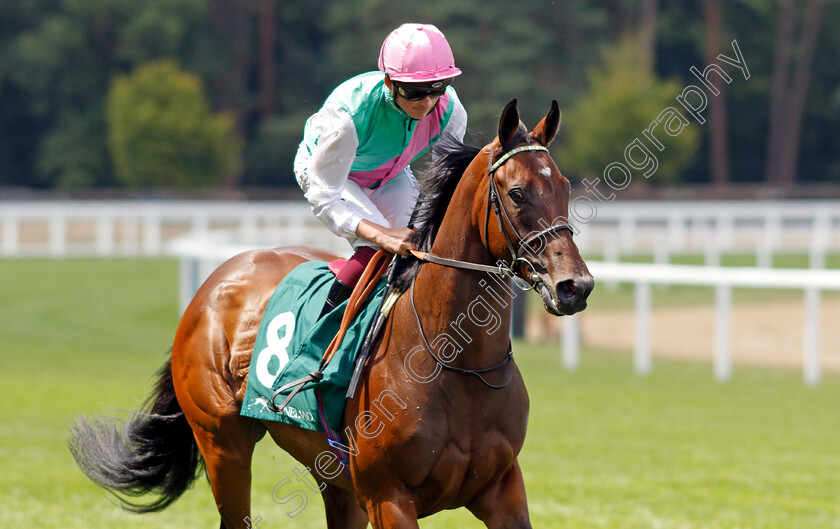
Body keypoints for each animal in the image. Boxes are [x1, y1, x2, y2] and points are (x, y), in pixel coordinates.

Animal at [70, 100, 592, 528]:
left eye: (566, 186)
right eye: (517, 193)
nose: (575, 286)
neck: (455, 363)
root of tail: (214, 282)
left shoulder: (502, 490)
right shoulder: (389, 498)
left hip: (332, 477)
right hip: (223, 443)